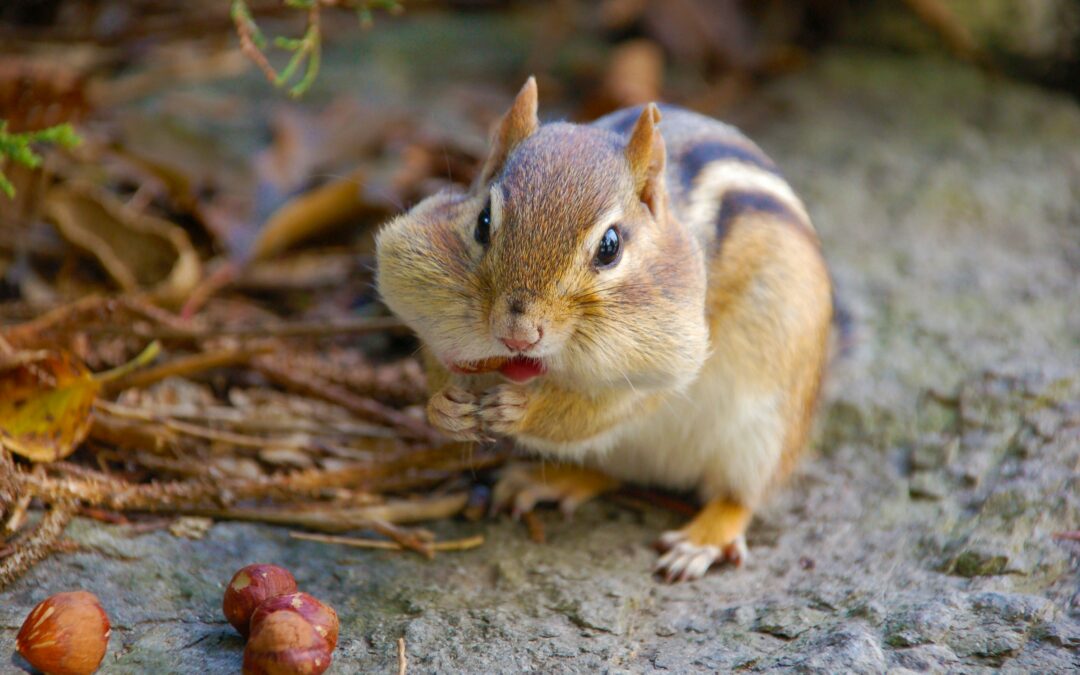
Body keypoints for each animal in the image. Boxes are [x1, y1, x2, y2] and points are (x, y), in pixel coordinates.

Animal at [375, 78, 832, 582]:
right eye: (483, 222)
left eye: (610, 246)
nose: (518, 334)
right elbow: (438, 360)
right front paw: (444, 408)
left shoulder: (666, 363)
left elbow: (596, 410)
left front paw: (521, 409)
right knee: (610, 472)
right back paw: (547, 480)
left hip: (764, 430)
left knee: (740, 496)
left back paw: (702, 539)